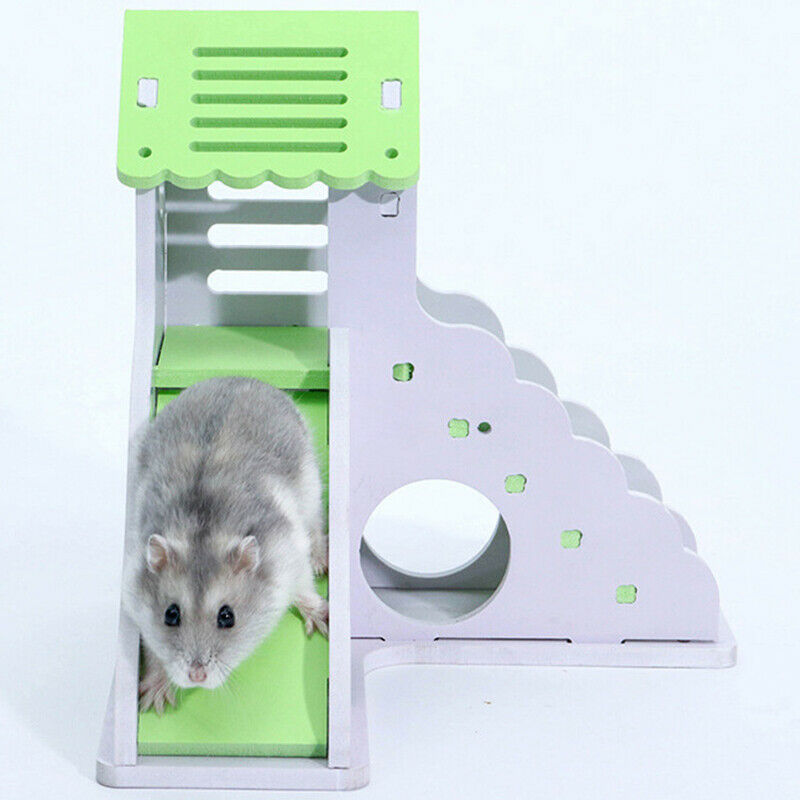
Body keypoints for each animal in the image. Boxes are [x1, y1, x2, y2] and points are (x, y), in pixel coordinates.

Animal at [122, 377, 328, 714]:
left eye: (227, 616)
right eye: (170, 614)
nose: (196, 676)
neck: (204, 531)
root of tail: (241, 378)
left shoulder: (292, 556)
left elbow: (305, 590)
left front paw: (324, 620)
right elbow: (151, 647)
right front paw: (154, 701)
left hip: (312, 490)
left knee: (317, 526)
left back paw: (323, 563)